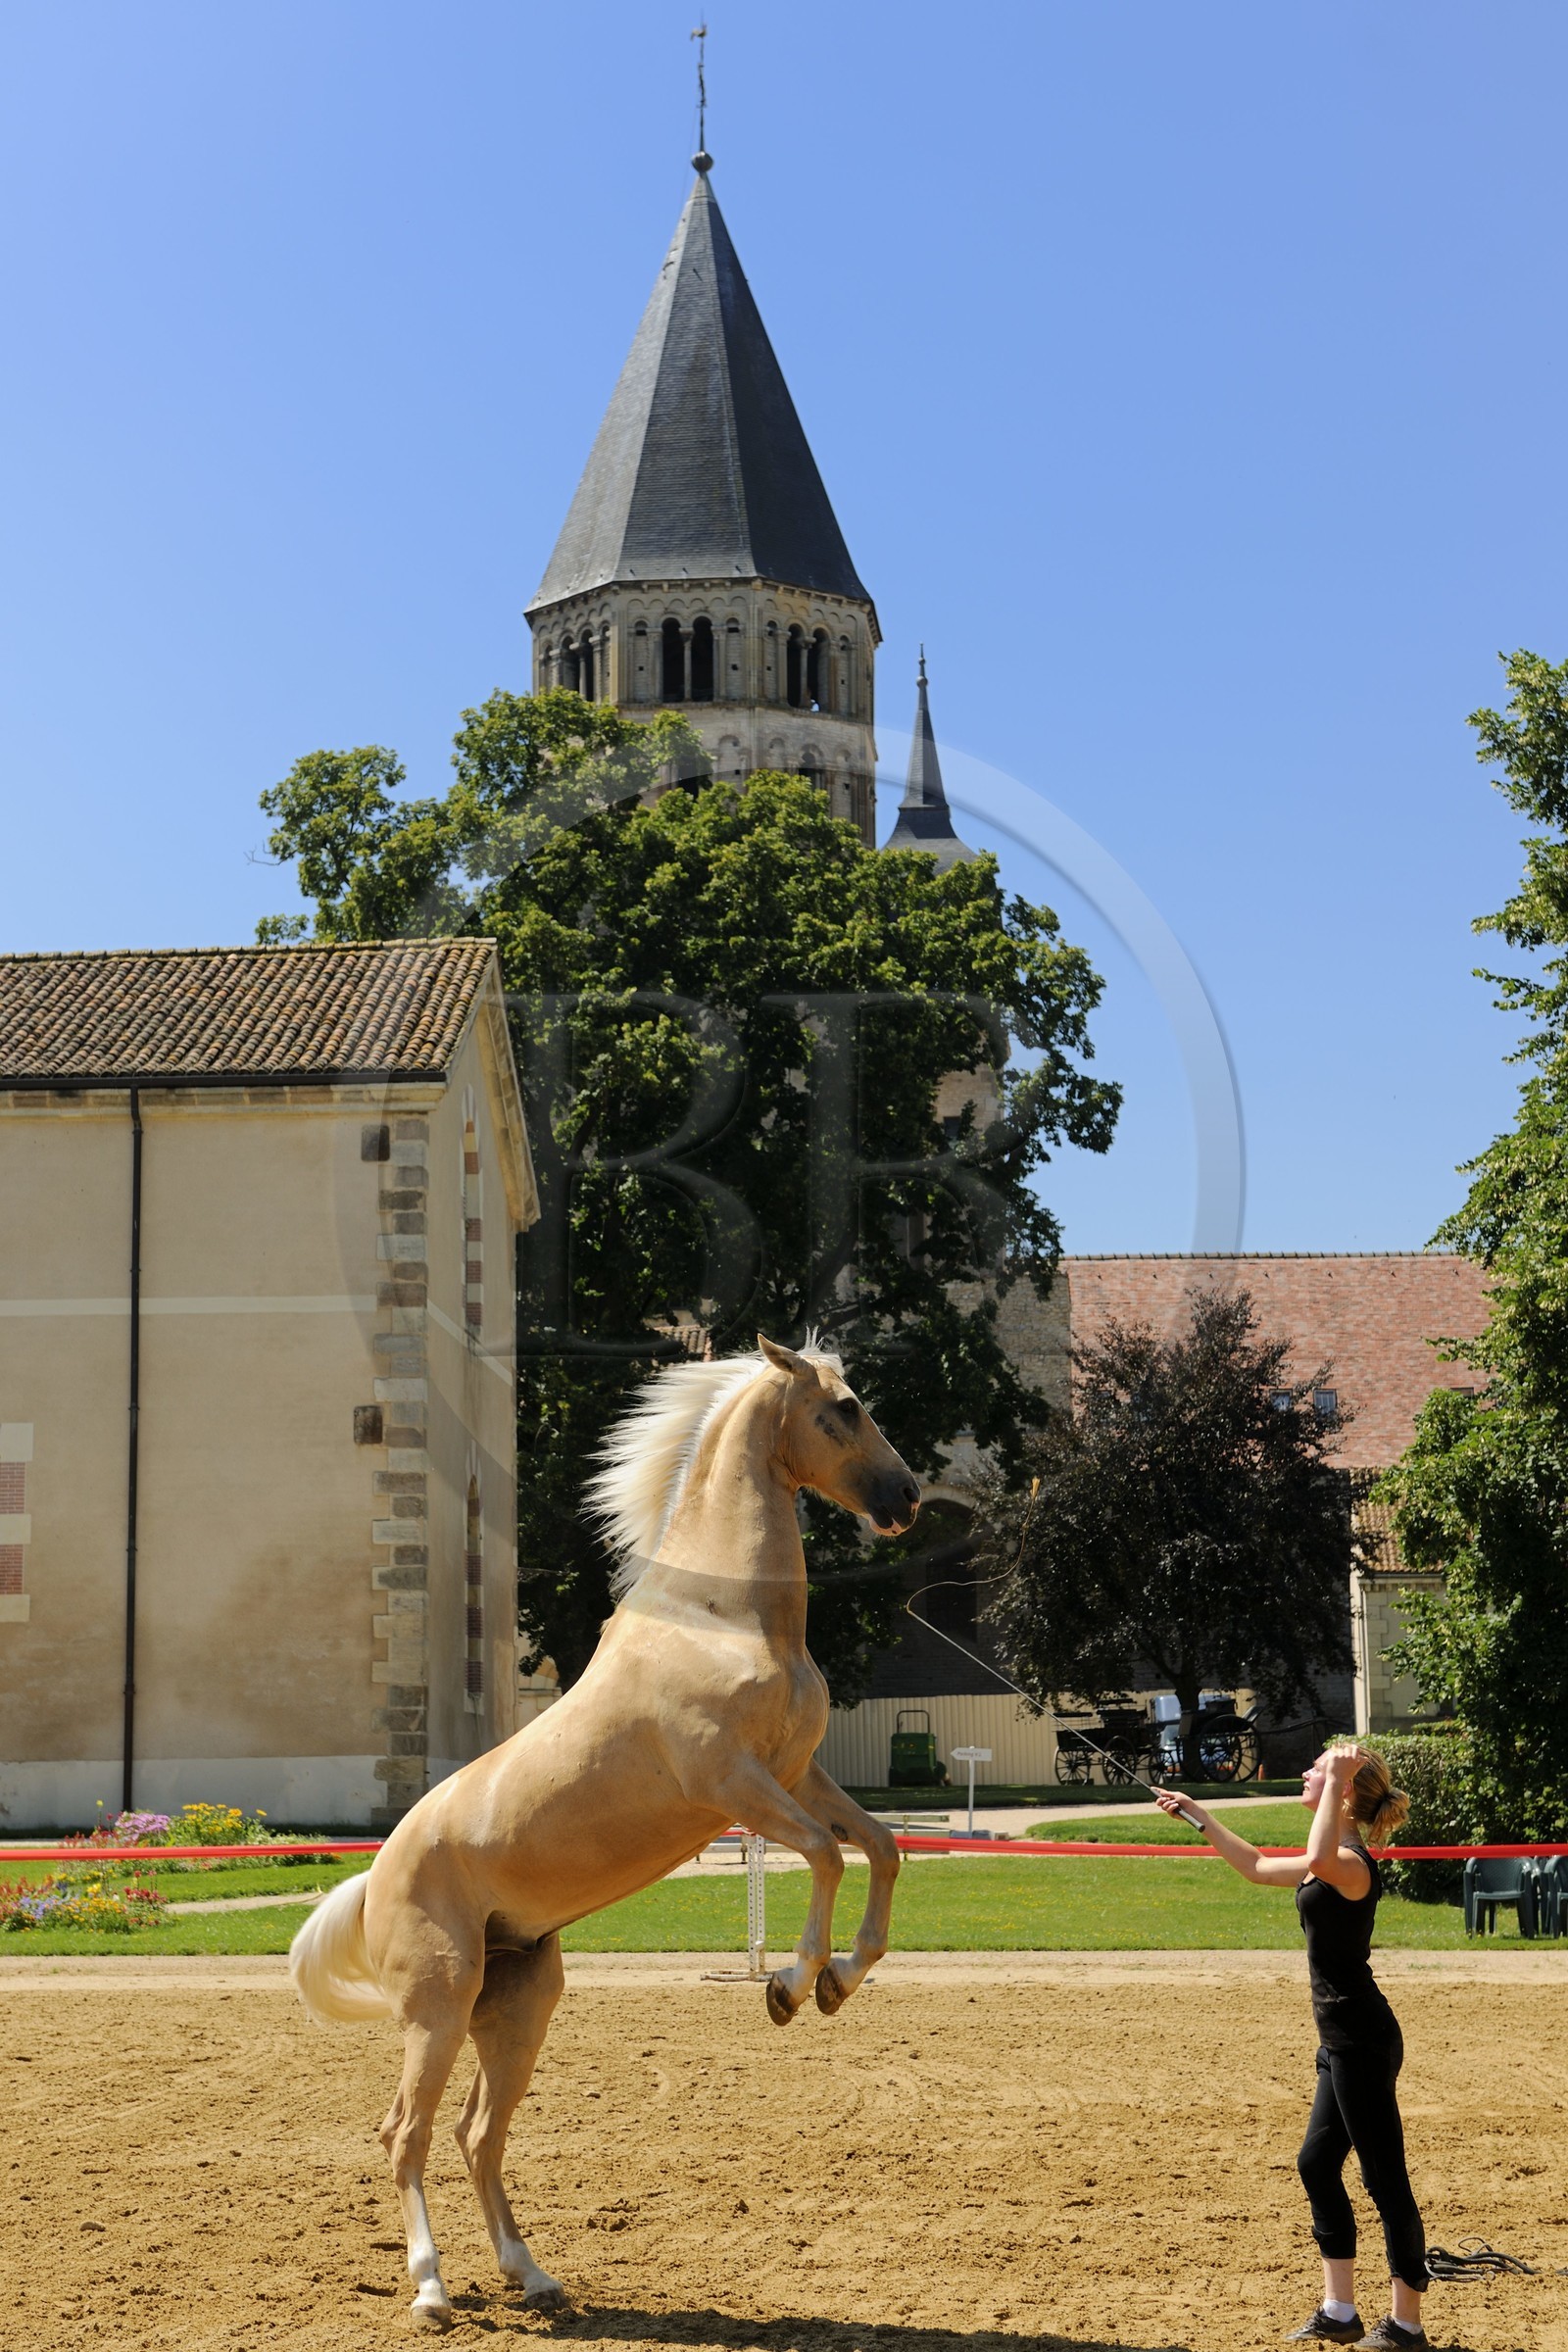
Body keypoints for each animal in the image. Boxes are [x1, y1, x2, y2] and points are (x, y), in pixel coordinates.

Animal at [289, 1332, 921, 2331]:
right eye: (846, 1408)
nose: (908, 1497)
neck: (723, 1620)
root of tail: (378, 1875)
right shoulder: (735, 1787)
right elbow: (826, 1853)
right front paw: (789, 1986)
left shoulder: (797, 1775)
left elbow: (882, 1847)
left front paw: (838, 1983)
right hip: (436, 2003)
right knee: (406, 2133)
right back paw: (431, 2289)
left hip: (516, 2008)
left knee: (476, 2135)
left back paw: (532, 2276)